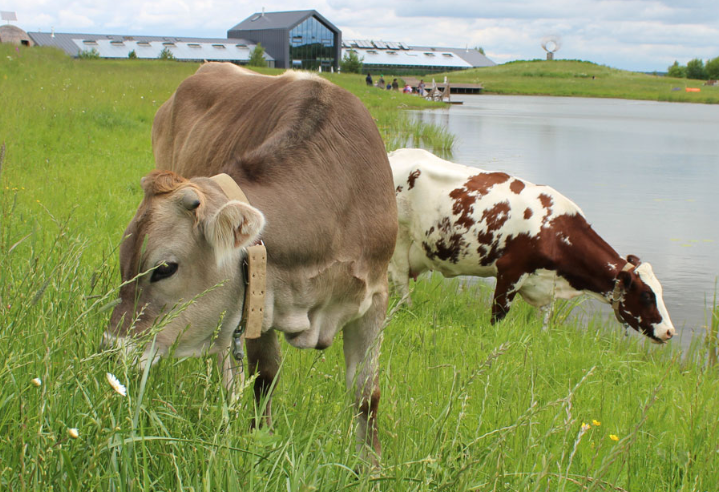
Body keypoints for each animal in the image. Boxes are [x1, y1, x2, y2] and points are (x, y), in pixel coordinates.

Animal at [105, 63, 400, 460]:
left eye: (164, 268)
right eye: (123, 260)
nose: (111, 349)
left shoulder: (376, 295)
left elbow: (367, 395)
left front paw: (369, 465)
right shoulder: (260, 296)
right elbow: (265, 376)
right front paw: (262, 443)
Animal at [388, 148, 676, 344]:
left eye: (660, 292)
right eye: (647, 295)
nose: (670, 331)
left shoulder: (545, 288)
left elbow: (544, 324)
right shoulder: (510, 272)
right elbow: (498, 317)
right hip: (399, 240)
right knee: (401, 282)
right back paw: (406, 311)